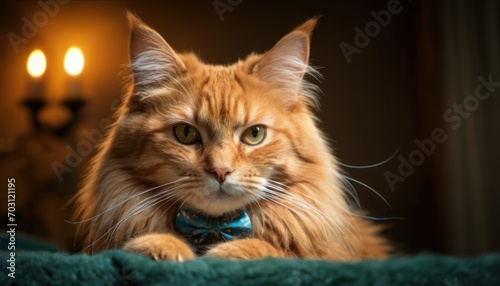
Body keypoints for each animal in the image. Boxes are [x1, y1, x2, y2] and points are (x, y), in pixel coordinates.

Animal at [72, 12, 388, 260]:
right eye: (185, 133)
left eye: (254, 135)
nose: (220, 171)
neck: (213, 230)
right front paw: (160, 246)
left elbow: (277, 252)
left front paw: (233, 252)